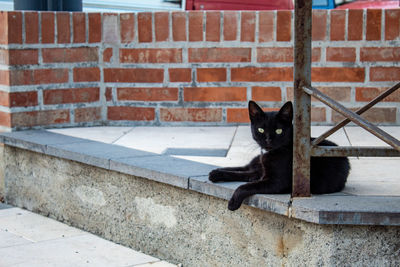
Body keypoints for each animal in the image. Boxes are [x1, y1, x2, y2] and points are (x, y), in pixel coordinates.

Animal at [209, 101, 350, 211]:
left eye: (278, 131)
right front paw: (216, 173)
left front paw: (233, 202)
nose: (268, 140)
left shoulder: (276, 182)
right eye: (261, 130)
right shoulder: (258, 172)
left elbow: (246, 185)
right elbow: (238, 171)